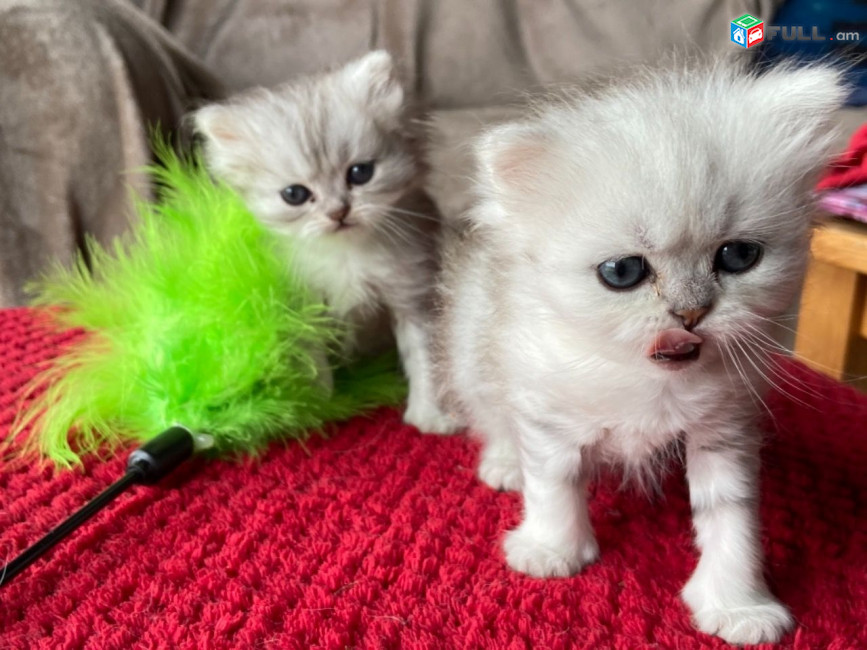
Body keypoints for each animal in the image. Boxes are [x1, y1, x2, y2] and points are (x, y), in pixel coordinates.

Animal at [194, 52, 458, 436]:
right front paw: (319, 405)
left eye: (360, 173)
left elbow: (423, 359)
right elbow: (313, 360)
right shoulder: (303, 306)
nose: (338, 212)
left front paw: (430, 415)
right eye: (295, 195)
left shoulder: (413, 296)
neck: (346, 253)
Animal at [440, 62, 848, 644]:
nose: (690, 313)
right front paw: (550, 552)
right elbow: (553, 484)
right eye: (623, 272)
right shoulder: (545, 411)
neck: (653, 383)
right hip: (474, 349)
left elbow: (733, 521)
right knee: (492, 416)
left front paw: (737, 607)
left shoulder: (724, 431)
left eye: (738, 256)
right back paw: (504, 464)